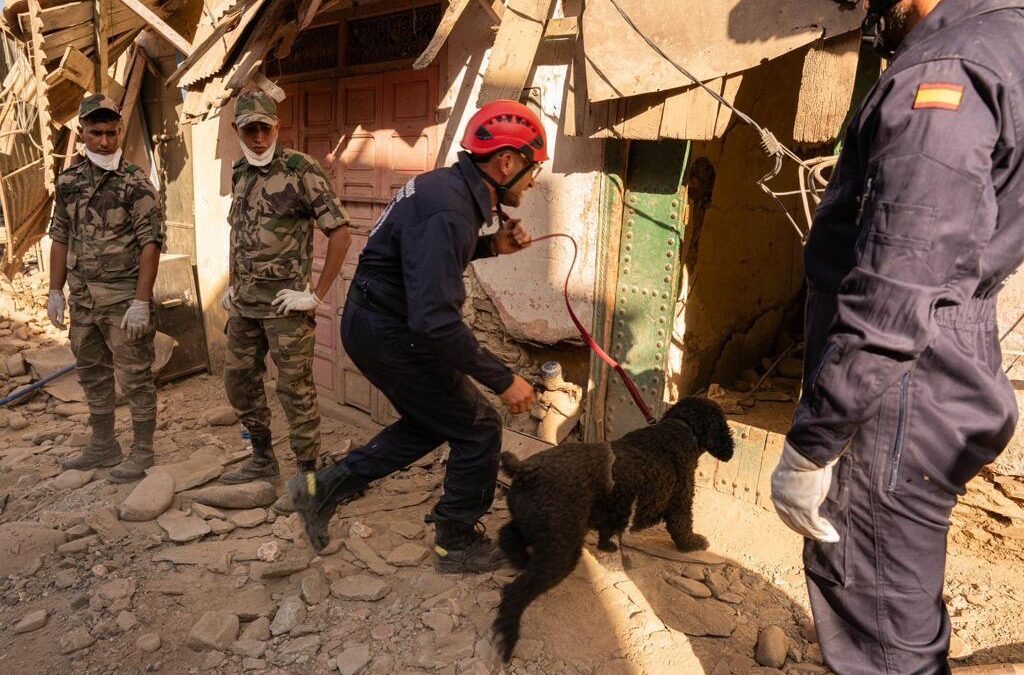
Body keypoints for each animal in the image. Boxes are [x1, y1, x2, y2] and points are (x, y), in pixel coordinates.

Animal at [491, 395, 733, 659]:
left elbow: (611, 543)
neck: (680, 427)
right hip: (560, 549)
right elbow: (683, 528)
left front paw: (619, 561)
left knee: (507, 535)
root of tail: (526, 470)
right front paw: (694, 543)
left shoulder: (614, 517)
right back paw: (508, 639)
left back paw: (519, 560)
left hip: (531, 524)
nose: (731, 448)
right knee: (516, 592)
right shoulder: (680, 503)